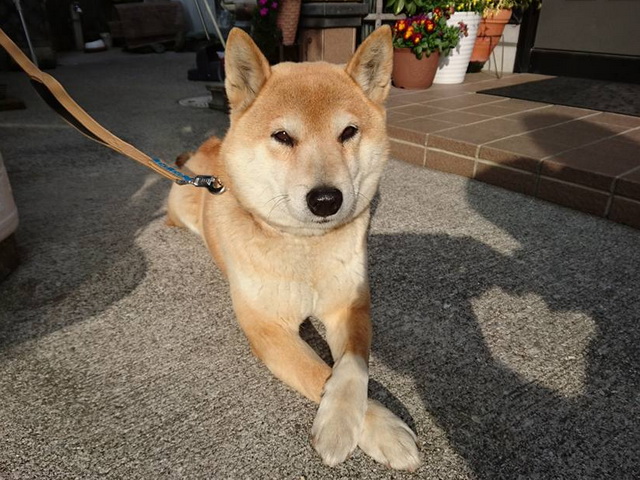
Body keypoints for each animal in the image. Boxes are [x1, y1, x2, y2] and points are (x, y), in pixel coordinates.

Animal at [166, 26, 421, 470]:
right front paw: (369, 429)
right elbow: (318, 373)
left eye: (348, 132)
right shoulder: (268, 327)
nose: (326, 199)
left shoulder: (350, 303)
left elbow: (352, 367)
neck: (304, 247)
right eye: (283, 136)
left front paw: (351, 421)